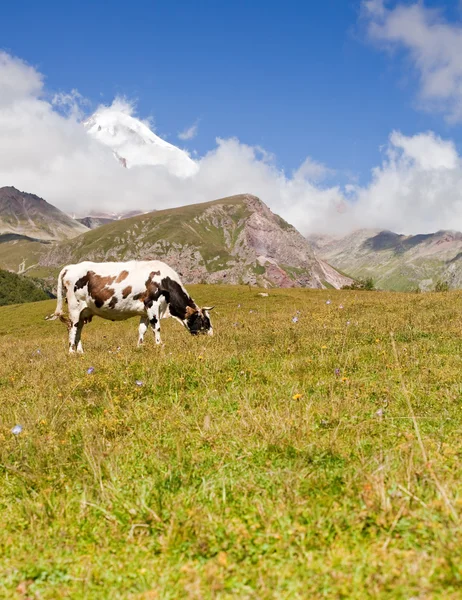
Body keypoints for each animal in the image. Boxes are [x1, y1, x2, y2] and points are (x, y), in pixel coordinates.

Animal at [45, 260, 215, 354]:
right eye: (205, 321)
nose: (212, 336)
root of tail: (70, 267)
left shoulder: (145, 311)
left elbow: (142, 329)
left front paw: (140, 347)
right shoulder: (152, 305)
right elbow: (156, 328)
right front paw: (159, 345)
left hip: (84, 311)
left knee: (78, 328)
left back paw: (80, 351)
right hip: (74, 307)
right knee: (72, 327)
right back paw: (71, 351)